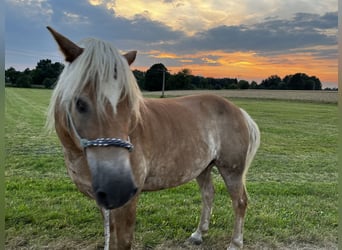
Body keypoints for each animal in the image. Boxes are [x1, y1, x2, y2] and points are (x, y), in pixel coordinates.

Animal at [45, 26, 260, 249]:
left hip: (232, 170)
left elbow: (122, 242)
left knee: (240, 202)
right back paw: (198, 234)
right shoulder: (105, 202)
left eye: (130, 103)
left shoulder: (127, 203)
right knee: (208, 195)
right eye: (79, 103)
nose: (118, 186)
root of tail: (238, 111)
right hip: (203, 167)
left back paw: (235, 242)